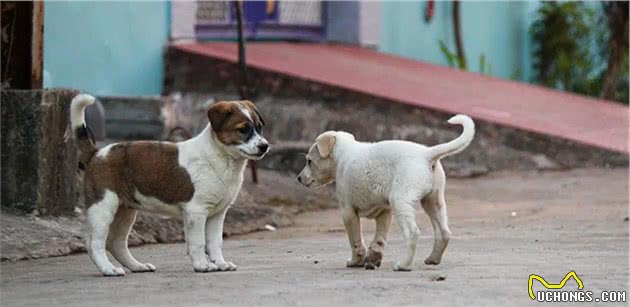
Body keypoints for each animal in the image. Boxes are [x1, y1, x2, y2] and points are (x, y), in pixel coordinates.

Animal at [71, 94, 270, 276]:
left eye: (259, 128)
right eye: (243, 130)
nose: (265, 146)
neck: (222, 157)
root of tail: (96, 153)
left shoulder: (217, 214)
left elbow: (215, 242)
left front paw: (220, 263)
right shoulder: (197, 211)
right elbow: (198, 242)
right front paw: (202, 265)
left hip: (125, 211)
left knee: (116, 243)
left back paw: (137, 266)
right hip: (103, 206)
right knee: (95, 243)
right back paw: (108, 269)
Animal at [298, 115, 476, 272]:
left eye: (309, 161)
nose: (298, 178)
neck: (343, 154)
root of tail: (426, 154)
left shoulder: (348, 212)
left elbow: (355, 240)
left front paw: (356, 261)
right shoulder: (384, 211)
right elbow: (380, 238)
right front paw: (374, 258)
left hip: (401, 201)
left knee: (413, 233)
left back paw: (404, 265)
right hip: (433, 201)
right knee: (444, 232)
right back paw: (433, 259)